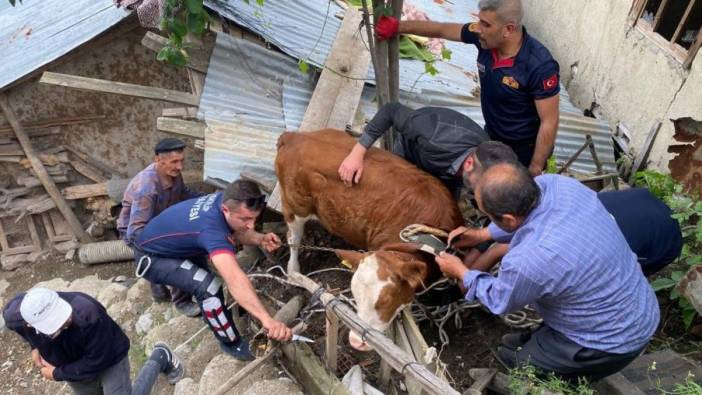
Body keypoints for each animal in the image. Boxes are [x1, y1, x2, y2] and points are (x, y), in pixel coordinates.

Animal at [276, 129, 468, 350]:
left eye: (385, 301)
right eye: (354, 294)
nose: (355, 342)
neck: (423, 235)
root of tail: (295, 136)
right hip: (295, 207)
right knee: (293, 240)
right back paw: (295, 271)